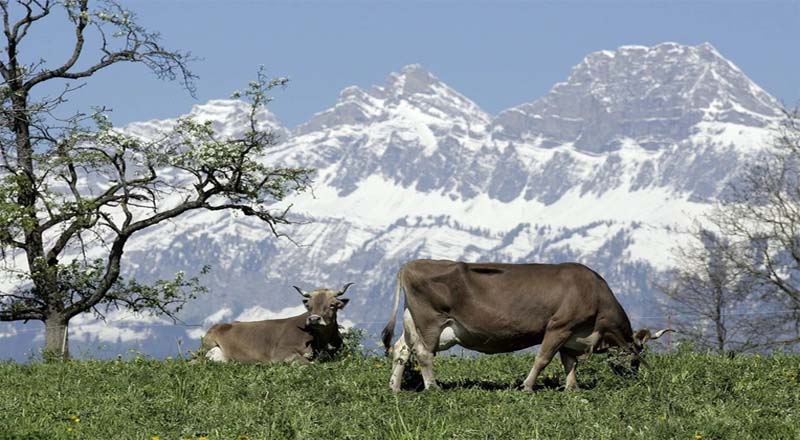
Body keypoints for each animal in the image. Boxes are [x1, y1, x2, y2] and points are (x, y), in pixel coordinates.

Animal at [384, 260, 672, 390]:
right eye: (635, 356)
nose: (633, 376)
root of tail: (410, 264)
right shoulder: (559, 326)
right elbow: (543, 358)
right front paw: (527, 386)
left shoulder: (572, 335)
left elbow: (569, 362)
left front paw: (572, 388)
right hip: (430, 321)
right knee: (424, 353)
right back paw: (433, 387)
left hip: (413, 321)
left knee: (401, 350)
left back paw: (395, 388)